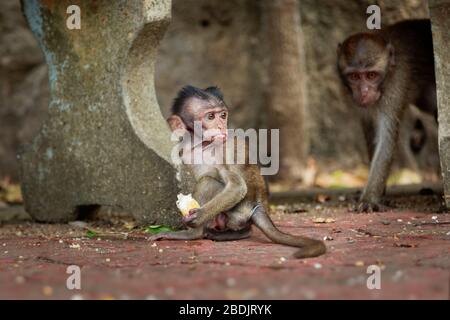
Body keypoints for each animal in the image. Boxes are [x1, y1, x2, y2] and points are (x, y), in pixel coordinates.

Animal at [150, 85, 324, 260]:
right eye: (210, 117)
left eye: (223, 115)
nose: (221, 126)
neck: (200, 146)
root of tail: (259, 205)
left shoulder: (222, 151)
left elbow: (237, 187)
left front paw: (197, 216)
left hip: (238, 212)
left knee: (207, 181)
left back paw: (193, 234)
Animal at [338, 18, 436, 211]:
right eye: (354, 76)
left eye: (371, 75)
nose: (364, 92)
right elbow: (372, 132)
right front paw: (379, 192)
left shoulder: (397, 82)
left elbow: (387, 137)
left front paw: (370, 198)